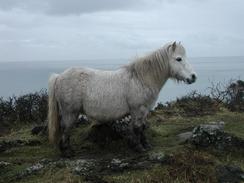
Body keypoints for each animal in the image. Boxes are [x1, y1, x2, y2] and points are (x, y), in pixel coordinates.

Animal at [47, 41, 196, 154]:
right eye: (179, 59)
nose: (193, 77)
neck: (140, 79)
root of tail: (59, 76)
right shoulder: (137, 110)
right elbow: (137, 128)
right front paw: (139, 148)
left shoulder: (144, 111)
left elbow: (142, 127)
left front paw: (145, 145)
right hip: (70, 112)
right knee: (66, 129)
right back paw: (67, 152)